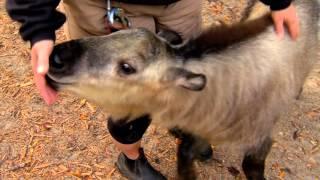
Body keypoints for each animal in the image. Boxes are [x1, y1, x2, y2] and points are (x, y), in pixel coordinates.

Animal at [46, 0, 318, 179]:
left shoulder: (261, 138)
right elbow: (185, 154)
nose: (56, 57)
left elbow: (251, 167)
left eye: (127, 67)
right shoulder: (198, 130)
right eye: (113, 34)